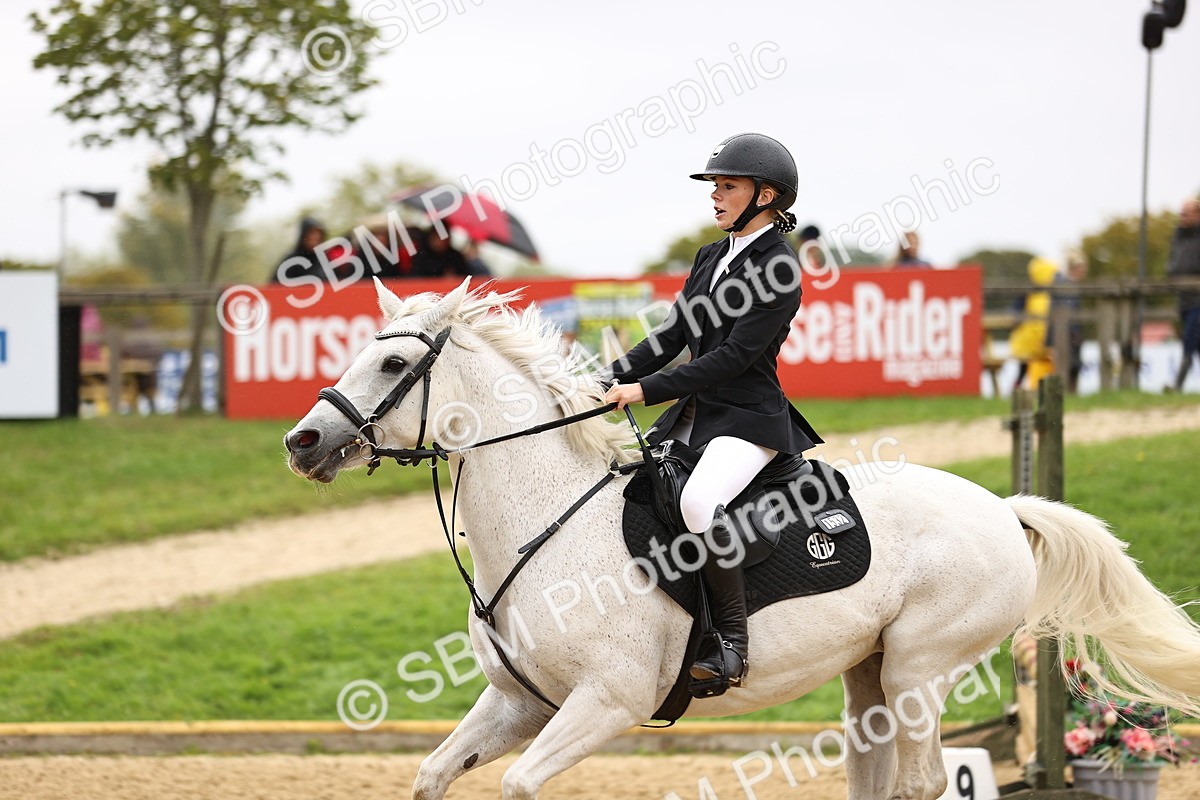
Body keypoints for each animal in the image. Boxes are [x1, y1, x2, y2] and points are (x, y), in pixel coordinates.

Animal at [285, 278, 1200, 800]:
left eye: (393, 367)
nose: (301, 442)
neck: (543, 525)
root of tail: (1003, 508)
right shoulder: (518, 702)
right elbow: (433, 774)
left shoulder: (607, 703)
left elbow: (515, 784)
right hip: (869, 679)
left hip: (918, 669)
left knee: (922, 782)